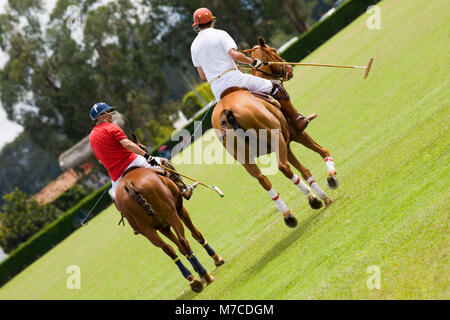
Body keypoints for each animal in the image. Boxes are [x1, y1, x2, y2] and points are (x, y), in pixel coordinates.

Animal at [114, 135, 223, 292]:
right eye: (143, 147)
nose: (147, 153)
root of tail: (129, 183)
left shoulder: (163, 227)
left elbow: (179, 248)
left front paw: (198, 275)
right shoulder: (180, 210)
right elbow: (196, 234)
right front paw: (217, 259)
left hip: (146, 230)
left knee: (168, 249)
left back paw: (193, 280)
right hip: (171, 213)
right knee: (183, 241)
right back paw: (206, 277)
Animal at [213, 37, 336, 228]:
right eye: (274, 51)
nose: (289, 68)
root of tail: (227, 110)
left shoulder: (287, 143)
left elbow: (305, 171)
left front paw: (325, 196)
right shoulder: (295, 134)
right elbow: (322, 150)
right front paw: (331, 178)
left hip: (244, 157)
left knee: (262, 179)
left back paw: (288, 214)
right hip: (275, 137)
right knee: (283, 167)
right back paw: (312, 199)